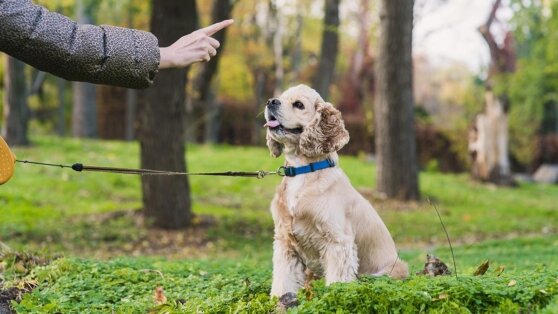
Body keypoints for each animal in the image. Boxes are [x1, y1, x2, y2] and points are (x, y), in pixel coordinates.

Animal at [264, 84, 410, 300]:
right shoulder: (285, 242)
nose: (271, 101)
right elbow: (283, 280)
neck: (302, 171)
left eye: (298, 104)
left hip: (388, 271)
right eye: (280, 97)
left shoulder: (338, 242)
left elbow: (337, 282)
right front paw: (280, 300)